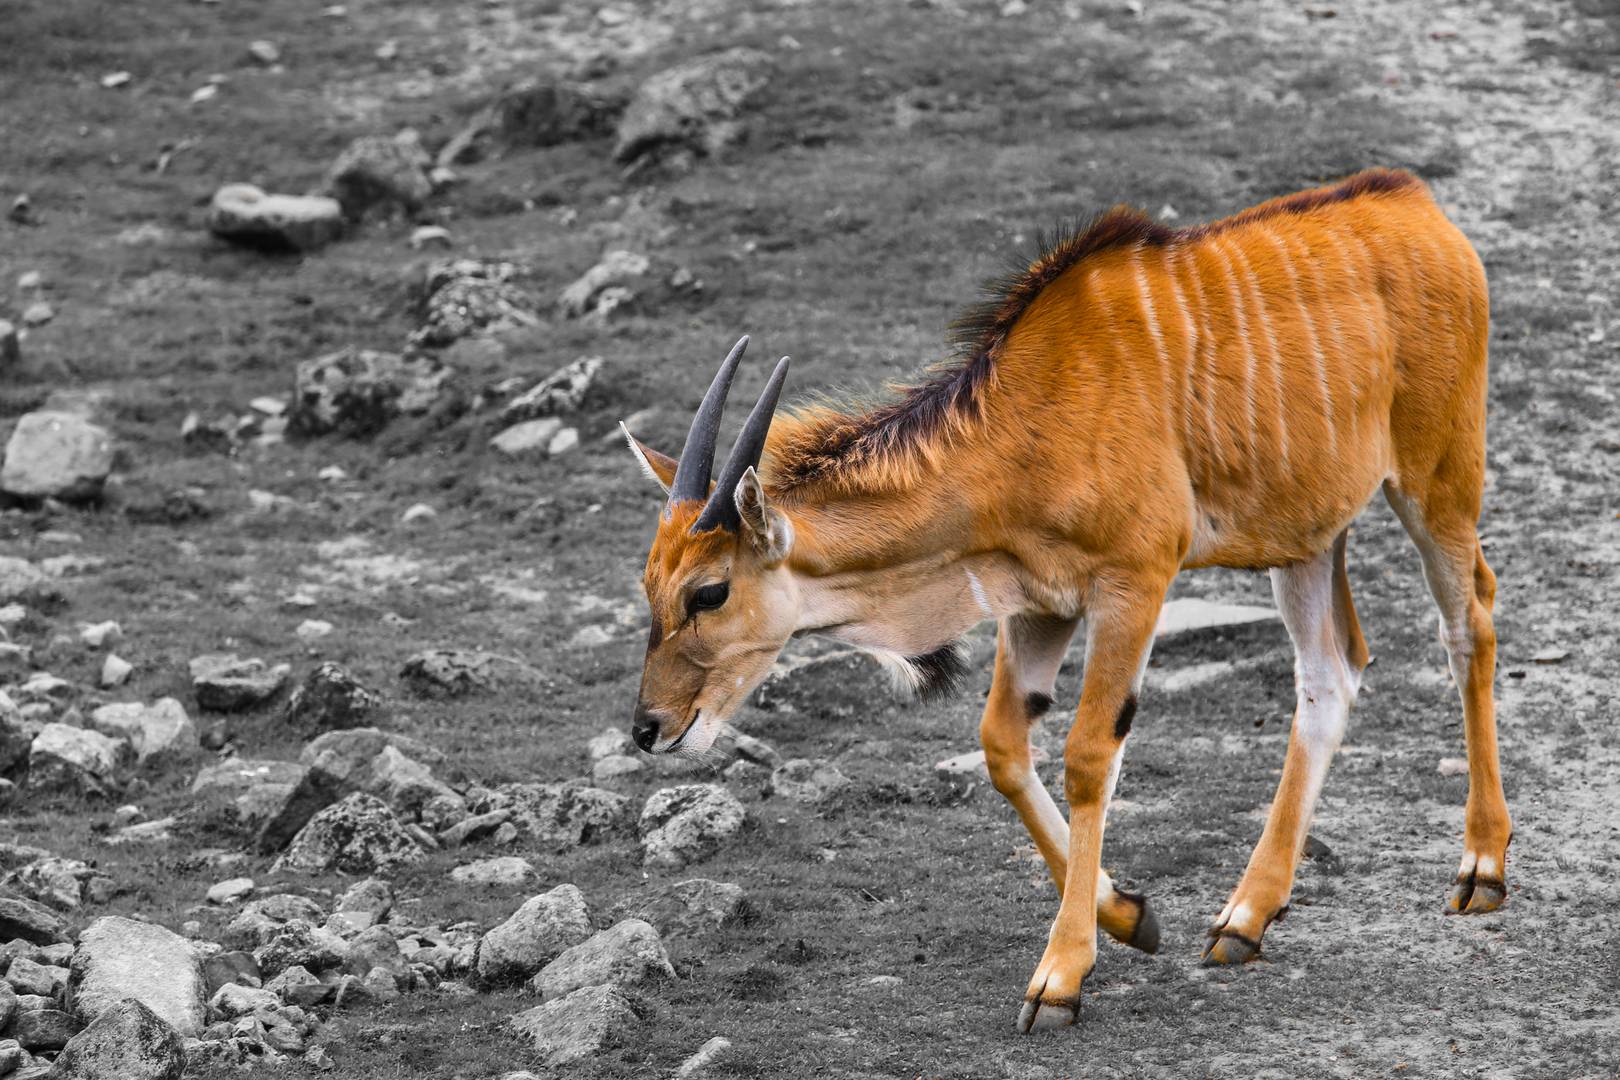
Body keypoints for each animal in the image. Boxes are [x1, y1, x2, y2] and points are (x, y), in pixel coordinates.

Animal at [618, 169, 1503, 1029]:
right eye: (648, 585)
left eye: (709, 592)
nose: (649, 727)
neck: (1026, 420)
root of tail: (1420, 206)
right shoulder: (1037, 602)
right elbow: (1003, 746)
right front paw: (1130, 915)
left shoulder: (1134, 582)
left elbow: (1086, 755)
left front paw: (1061, 977)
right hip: (1308, 539)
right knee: (1330, 674)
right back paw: (1245, 918)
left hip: (1436, 484)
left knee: (1471, 624)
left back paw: (1483, 869)